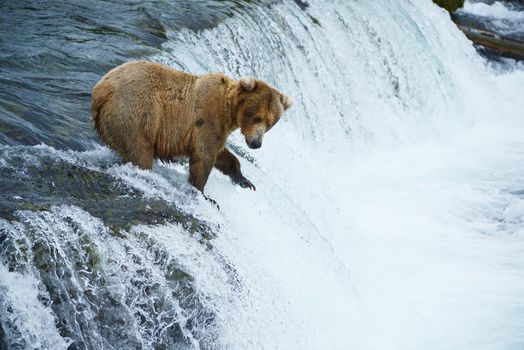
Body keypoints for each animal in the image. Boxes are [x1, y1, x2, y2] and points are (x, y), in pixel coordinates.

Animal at [91, 61, 292, 194]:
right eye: (257, 117)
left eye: (270, 123)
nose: (256, 143)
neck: (230, 110)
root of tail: (102, 89)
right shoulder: (208, 118)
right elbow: (204, 156)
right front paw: (202, 192)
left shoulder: (218, 129)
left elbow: (222, 154)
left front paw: (245, 181)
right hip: (136, 114)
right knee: (140, 152)